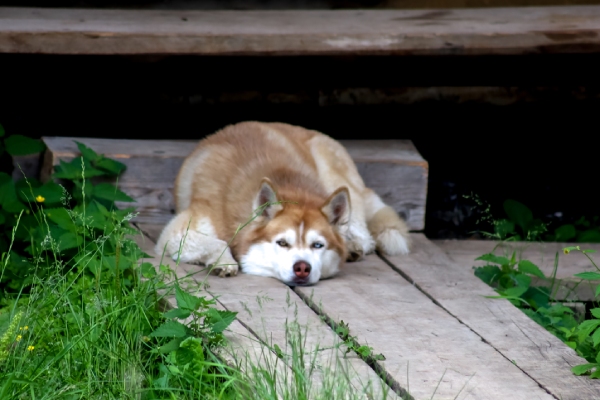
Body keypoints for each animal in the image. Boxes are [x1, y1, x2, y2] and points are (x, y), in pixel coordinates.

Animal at [155, 121, 410, 286]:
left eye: (318, 245)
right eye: (282, 243)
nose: (302, 267)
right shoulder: (176, 234)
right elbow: (218, 242)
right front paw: (225, 261)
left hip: (337, 181)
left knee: (365, 237)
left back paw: (353, 245)